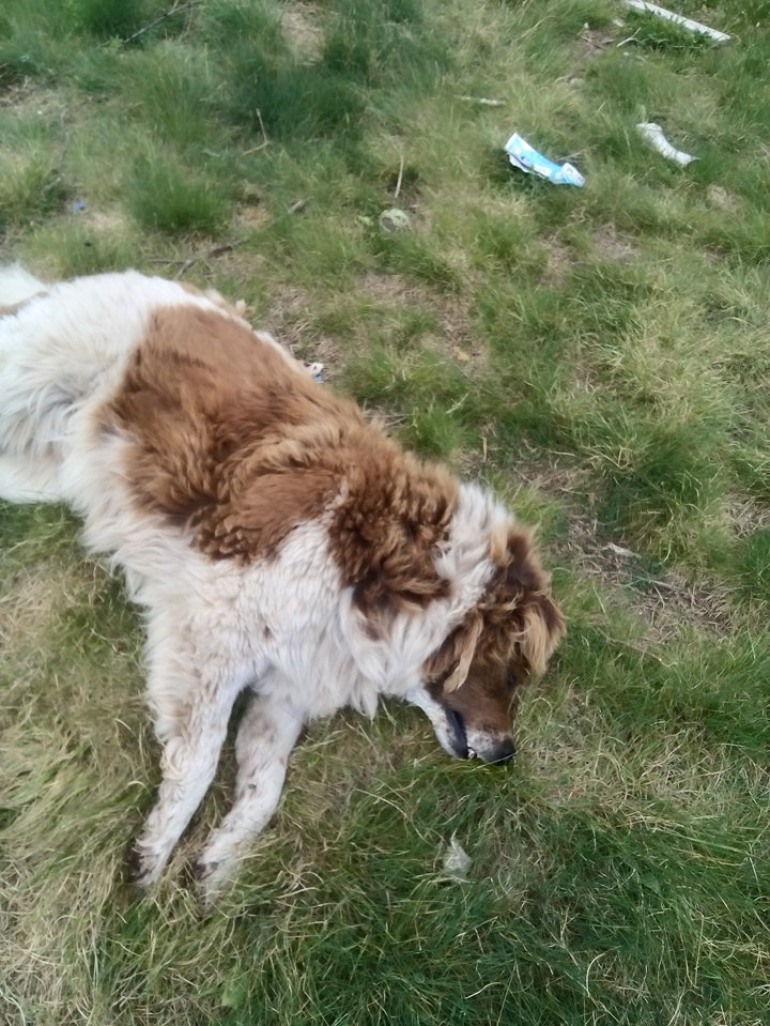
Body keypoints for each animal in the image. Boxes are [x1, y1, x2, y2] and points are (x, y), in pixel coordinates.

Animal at [0, 268, 566, 894]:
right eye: (511, 675)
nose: (507, 755)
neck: (382, 574)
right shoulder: (212, 640)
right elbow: (199, 759)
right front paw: (156, 849)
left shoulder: (287, 685)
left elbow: (264, 785)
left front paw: (221, 860)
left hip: (35, 469)